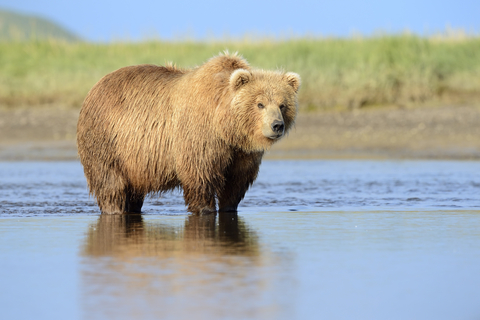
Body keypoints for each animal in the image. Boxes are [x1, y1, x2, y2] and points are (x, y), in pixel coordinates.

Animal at [76, 52, 300, 215]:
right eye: (260, 104)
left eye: (282, 105)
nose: (277, 125)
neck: (226, 128)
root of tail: (94, 88)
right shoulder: (199, 137)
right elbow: (200, 177)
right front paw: (205, 209)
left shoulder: (241, 153)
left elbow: (235, 184)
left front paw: (228, 207)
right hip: (107, 141)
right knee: (110, 184)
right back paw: (115, 210)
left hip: (135, 162)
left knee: (133, 192)